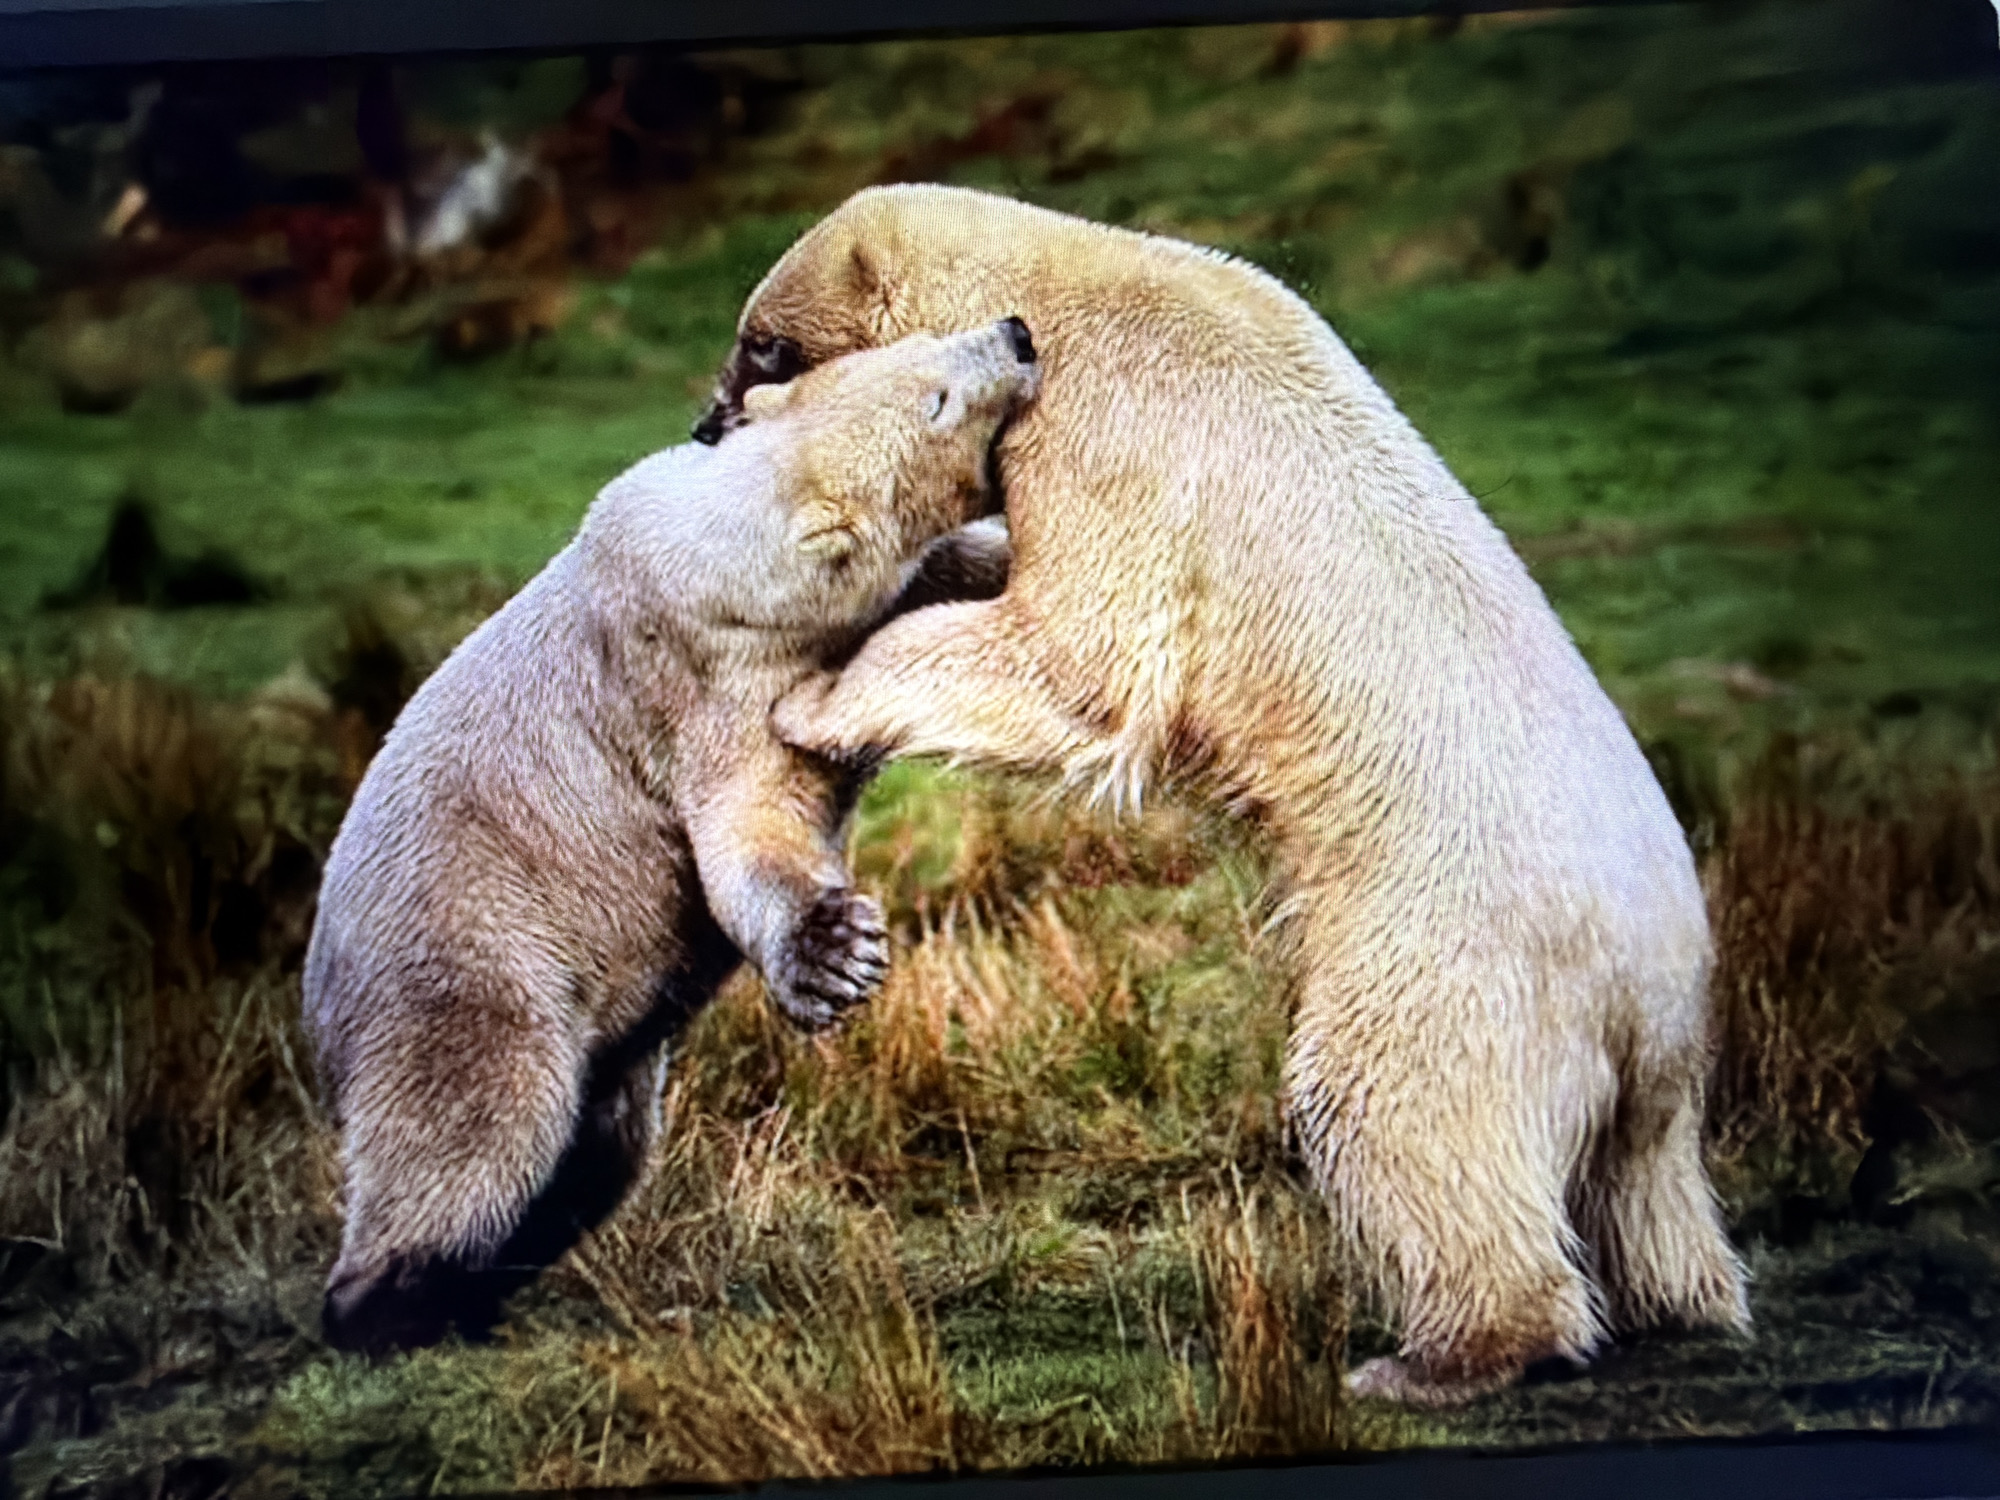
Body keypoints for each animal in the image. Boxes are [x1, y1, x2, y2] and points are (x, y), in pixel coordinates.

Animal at [303, 316, 1039, 1355]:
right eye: (936, 397)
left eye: (926, 343)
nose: (1016, 334)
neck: (712, 549)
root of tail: (319, 1019)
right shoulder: (706, 679)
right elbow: (748, 824)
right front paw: (835, 952)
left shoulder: (870, 598)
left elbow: (965, 572)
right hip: (467, 966)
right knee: (479, 1124)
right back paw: (394, 1302)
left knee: (596, 1147)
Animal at [693, 183, 1750, 1407]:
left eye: (764, 345)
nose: (705, 429)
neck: (1072, 287)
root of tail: (1650, 995)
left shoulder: (1105, 435)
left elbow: (1078, 656)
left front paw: (815, 701)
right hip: (1647, 1070)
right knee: (1645, 1186)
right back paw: (1677, 1299)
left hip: (1440, 948)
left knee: (1391, 1106)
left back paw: (1440, 1355)